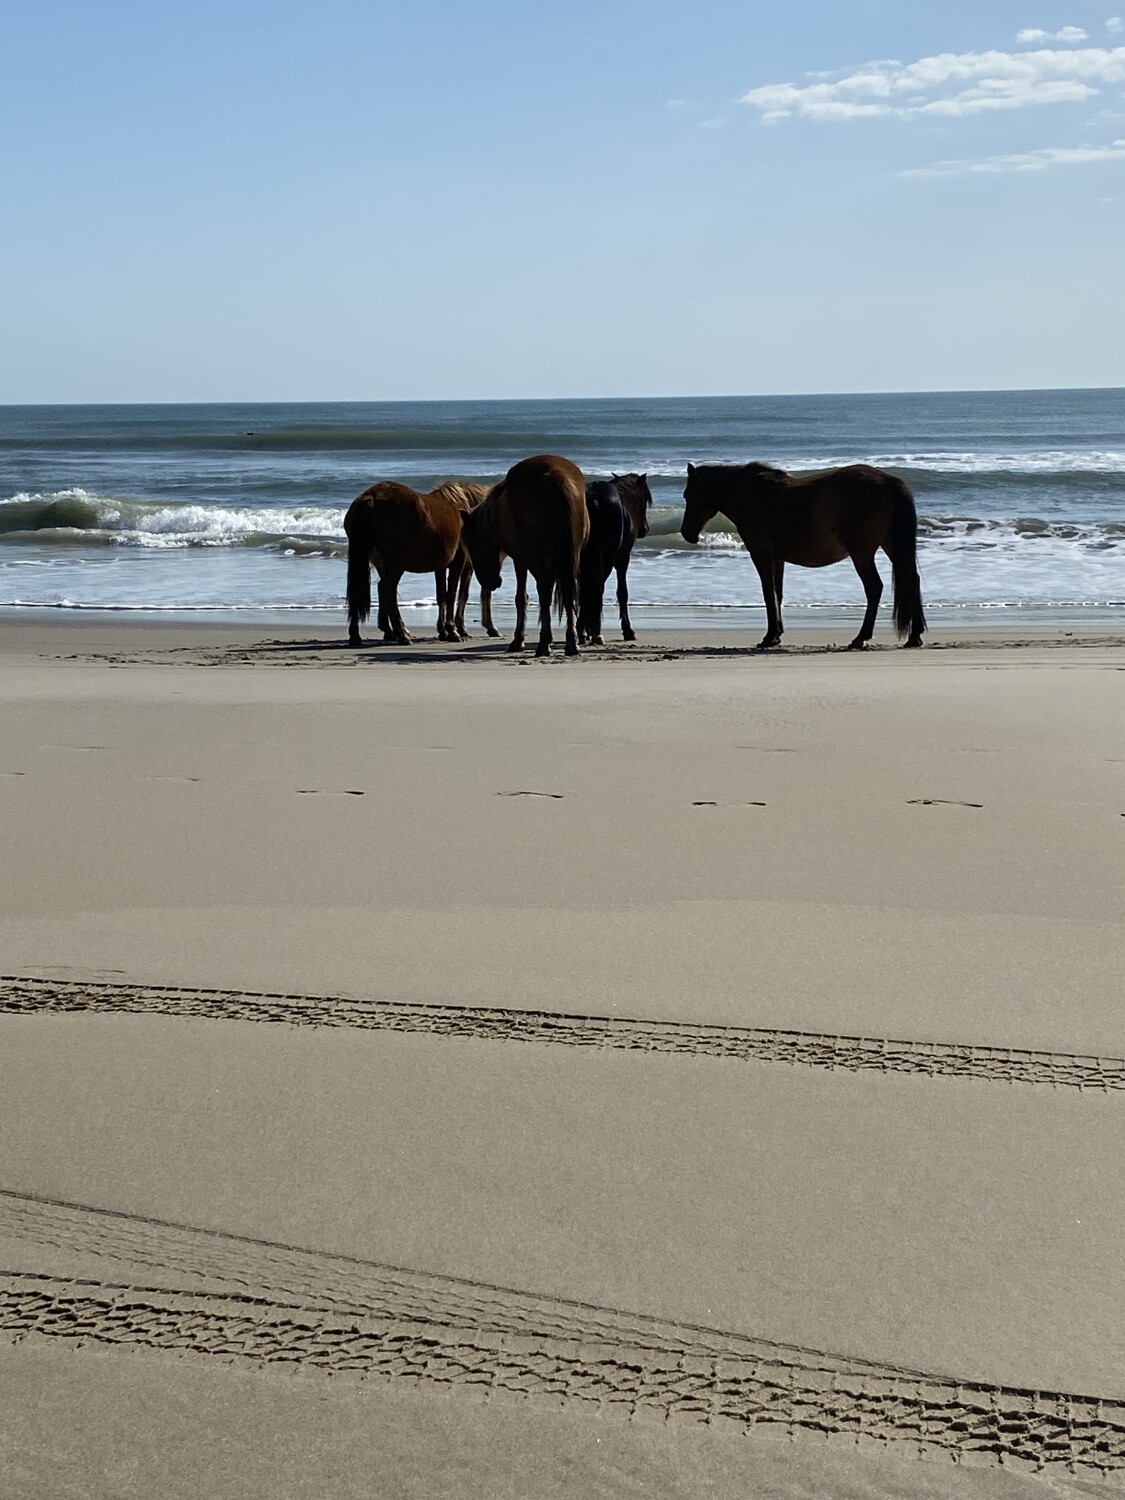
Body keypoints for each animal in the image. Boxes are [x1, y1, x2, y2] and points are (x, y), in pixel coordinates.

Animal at [344, 479, 468, 646]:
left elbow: (441, 595)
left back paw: (360, 635)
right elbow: (451, 594)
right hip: (396, 565)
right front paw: (452, 632)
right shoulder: (457, 562)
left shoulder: (441, 566)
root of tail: (372, 497)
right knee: (387, 589)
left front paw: (443, 631)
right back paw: (402, 634)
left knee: (368, 589)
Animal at [460, 454, 589, 656]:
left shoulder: (520, 560)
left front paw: (518, 640)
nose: (490, 582)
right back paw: (571, 644)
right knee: (569, 592)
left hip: (537, 559)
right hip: (572, 556)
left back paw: (544, 644)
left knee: (545, 593)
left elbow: (521, 597)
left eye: (473, 544)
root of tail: (554, 476)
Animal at [577, 473, 652, 645]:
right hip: (607, 559)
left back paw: (583, 631)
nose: (645, 529)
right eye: (645, 496)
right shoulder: (623, 559)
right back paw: (593, 632)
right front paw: (628, 630)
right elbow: (622, 592)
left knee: (585, 589)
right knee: (596, 588)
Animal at [680, 461, 927, 650]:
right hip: (891, 546)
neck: (751, 493)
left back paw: (860, 638)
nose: (686, 533)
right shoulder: (777, 559)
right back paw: (914, 636)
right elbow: (777, 594)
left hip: (862, 553)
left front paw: (769, 637)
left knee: (874, 587)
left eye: (688, 495)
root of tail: (888, 480)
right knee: (911, 580)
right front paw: (776, 635)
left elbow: (768, 594)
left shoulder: (761, 555)